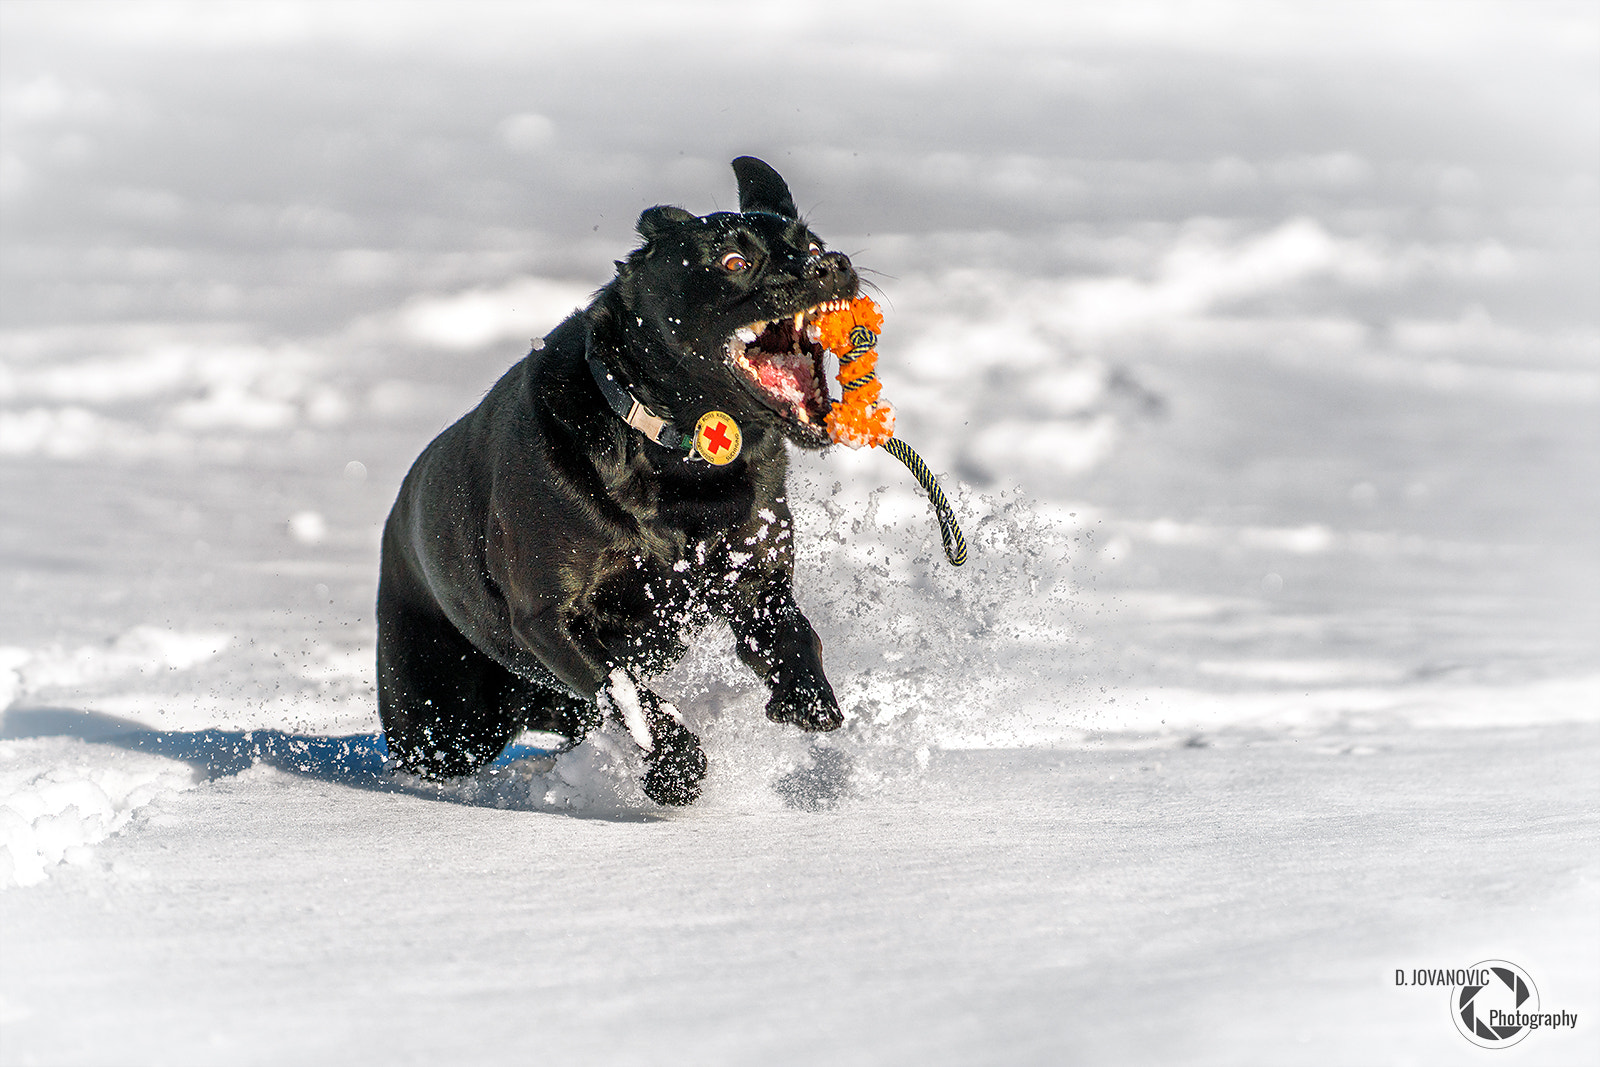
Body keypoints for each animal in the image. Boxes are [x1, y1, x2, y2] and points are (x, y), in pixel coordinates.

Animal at [376, 158, 857, 806]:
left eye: (812, 245)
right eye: (733, 262)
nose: (831, 267)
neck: (677, 458)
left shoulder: (753, 576)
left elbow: (795, 634)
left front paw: (806, 699)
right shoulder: (550, 620)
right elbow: (628, 692)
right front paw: (676, 769)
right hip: (444, 717)